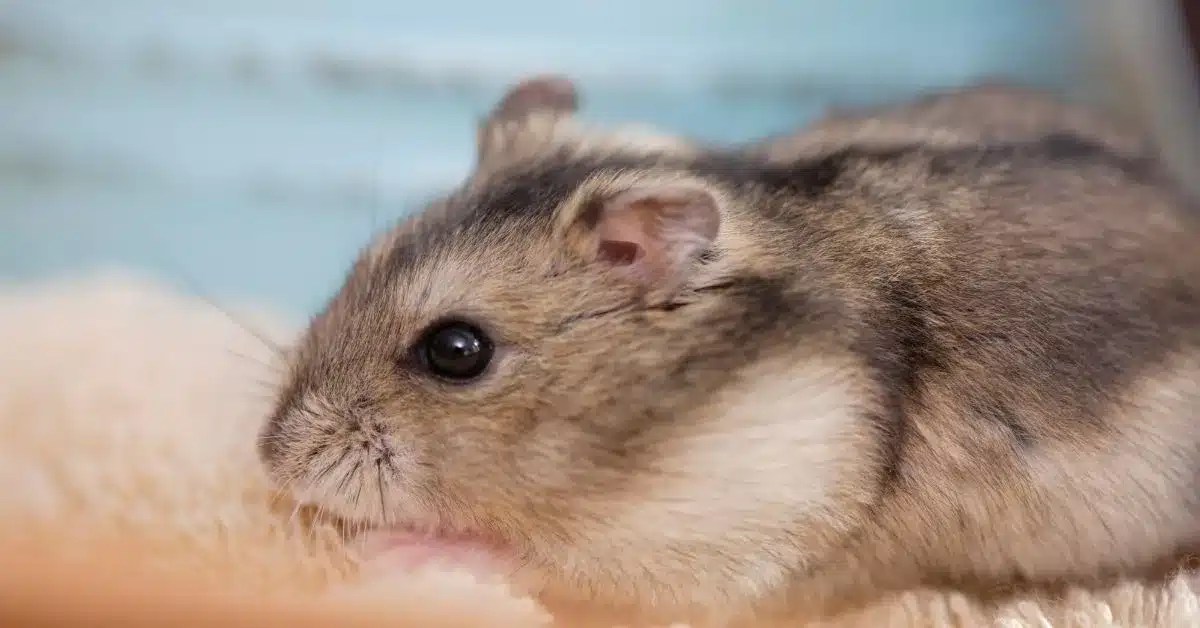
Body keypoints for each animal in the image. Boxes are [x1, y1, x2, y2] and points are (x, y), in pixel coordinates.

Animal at [257, 75, 1200, 622]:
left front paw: (383, 552)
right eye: (357, 267)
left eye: (456, 350)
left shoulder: (707, 541)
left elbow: (524, 557)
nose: (272, 460)